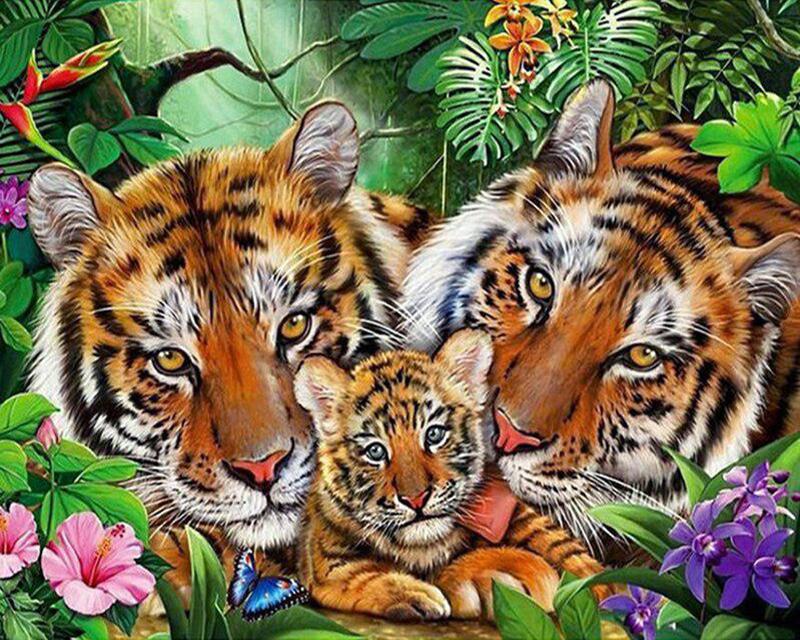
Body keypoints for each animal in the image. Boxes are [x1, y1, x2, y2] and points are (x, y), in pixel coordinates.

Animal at [293, 328, 606, 622]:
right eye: (375, 451)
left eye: (434, 434)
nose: (416, 499)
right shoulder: (326, 563)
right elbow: (361, 577)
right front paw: (421, 595)